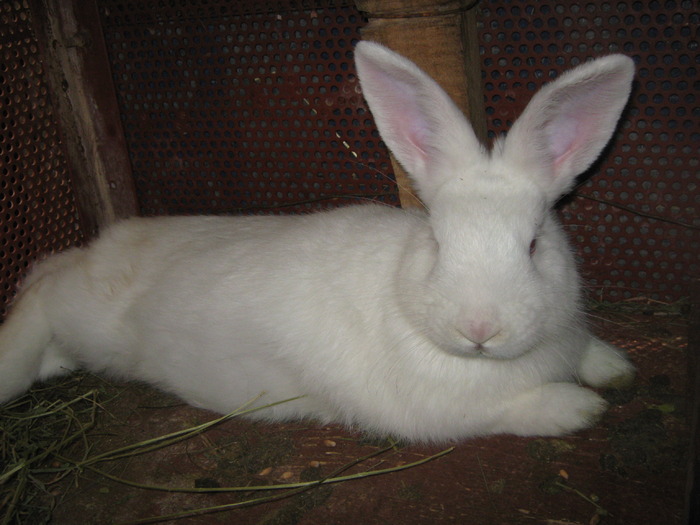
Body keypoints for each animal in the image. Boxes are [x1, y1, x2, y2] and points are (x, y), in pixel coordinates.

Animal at [0, 42, 636, 442]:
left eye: (533, 244)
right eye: (436, 241)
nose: (479, 329)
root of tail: (100, 248)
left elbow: (588, 349)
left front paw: (615, 369)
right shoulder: (442, 412)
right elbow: (511, 409)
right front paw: (579, 406)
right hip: (86, 314)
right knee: (41, 288)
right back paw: (13, 367)